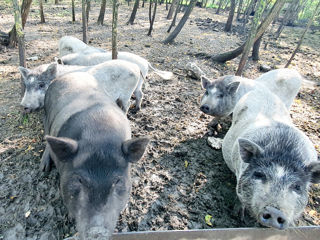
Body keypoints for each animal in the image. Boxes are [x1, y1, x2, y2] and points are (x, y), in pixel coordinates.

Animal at [40, 71, 149, 238]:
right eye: (79, 180)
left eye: (117, 181)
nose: (97, 231)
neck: (99, 135)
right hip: (46, 114)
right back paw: (43, 168)